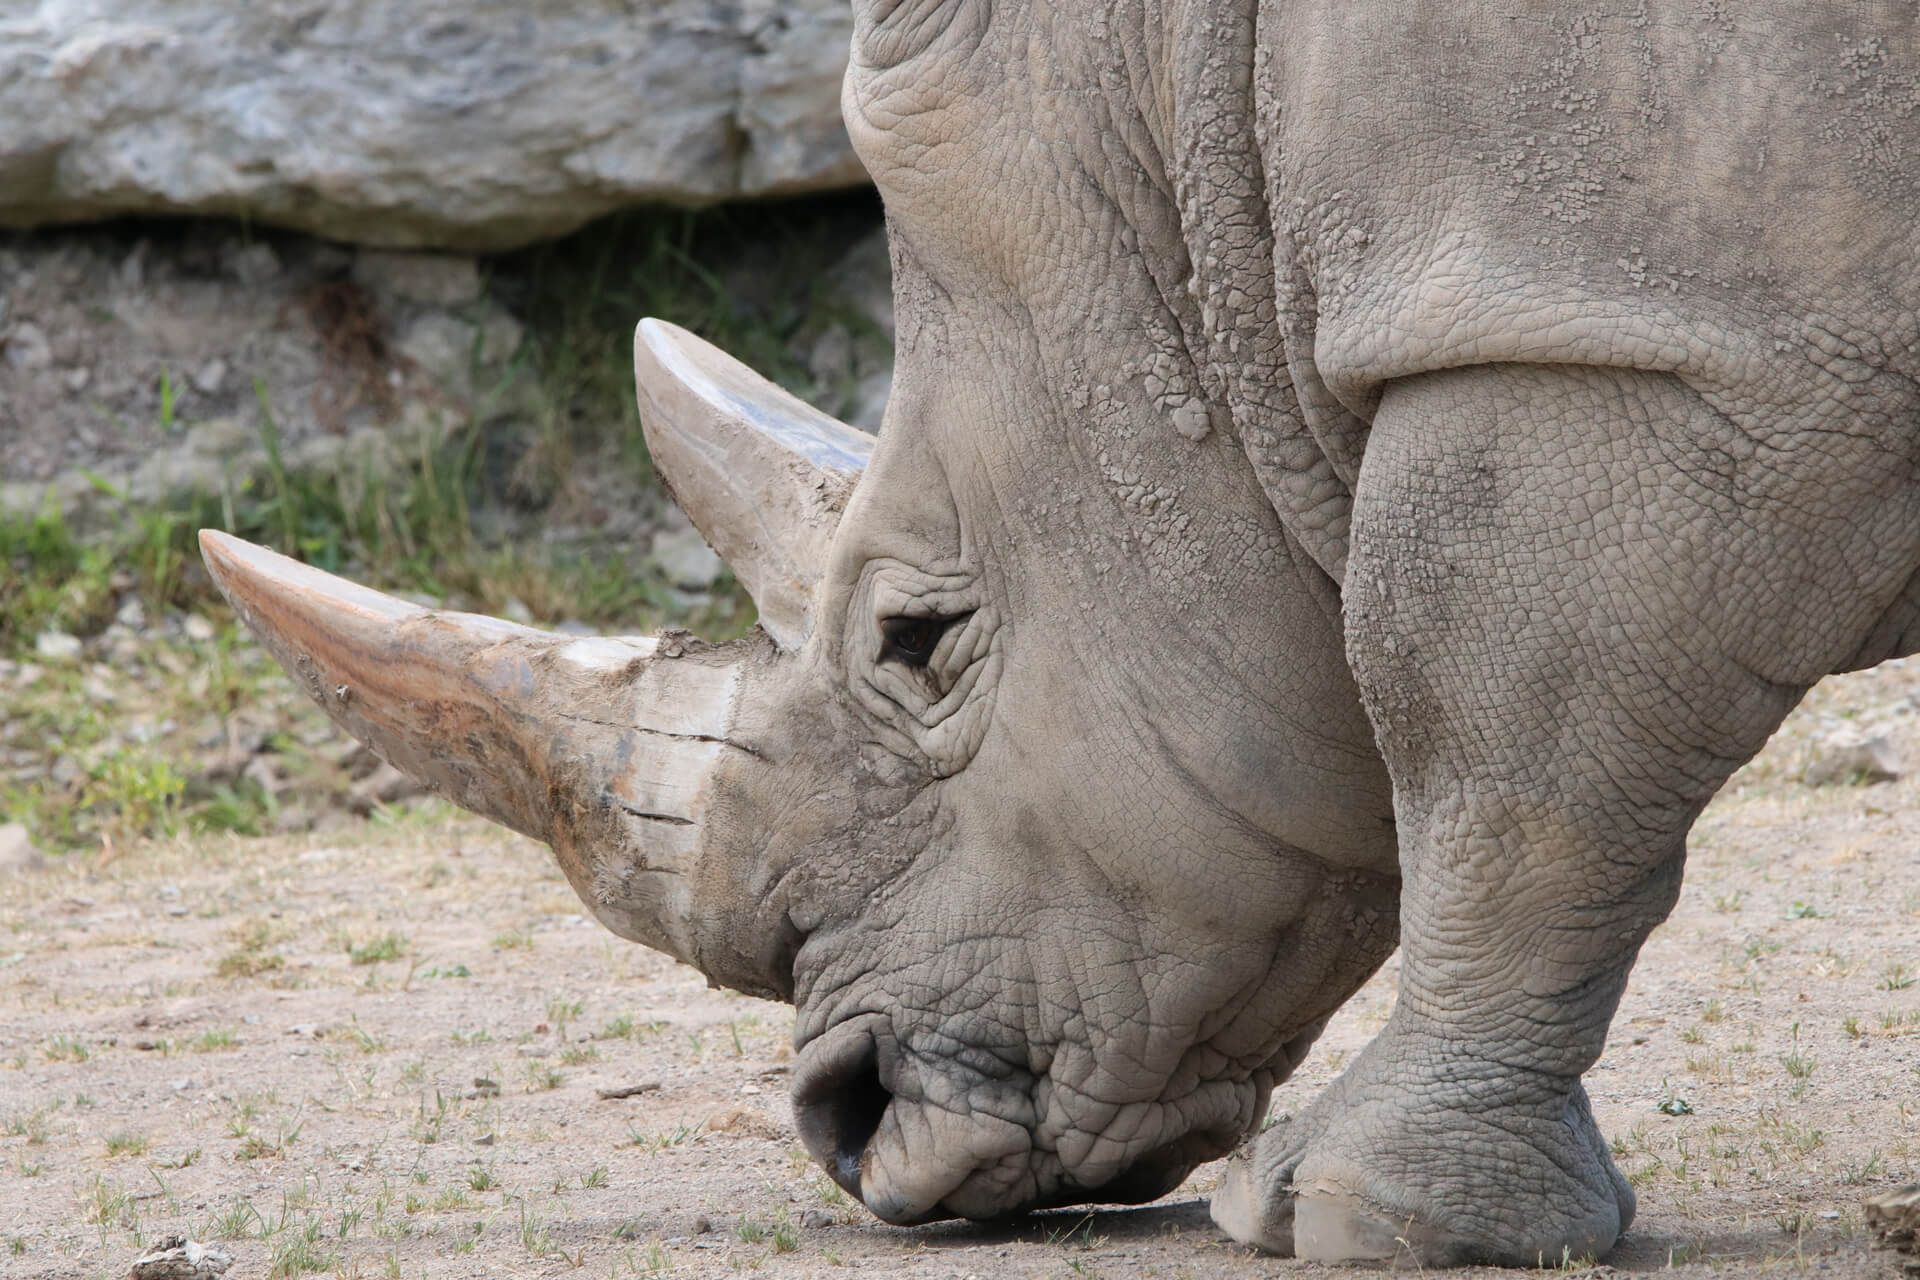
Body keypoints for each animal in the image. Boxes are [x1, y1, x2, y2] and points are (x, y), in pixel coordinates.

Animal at [200, 0, 1920, 1267]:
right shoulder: (1652, 310)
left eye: (915, 642)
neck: (1185, 108)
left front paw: (1345, 1221)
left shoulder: (1610, 327)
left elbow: (1499, 770)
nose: (850, 1124)